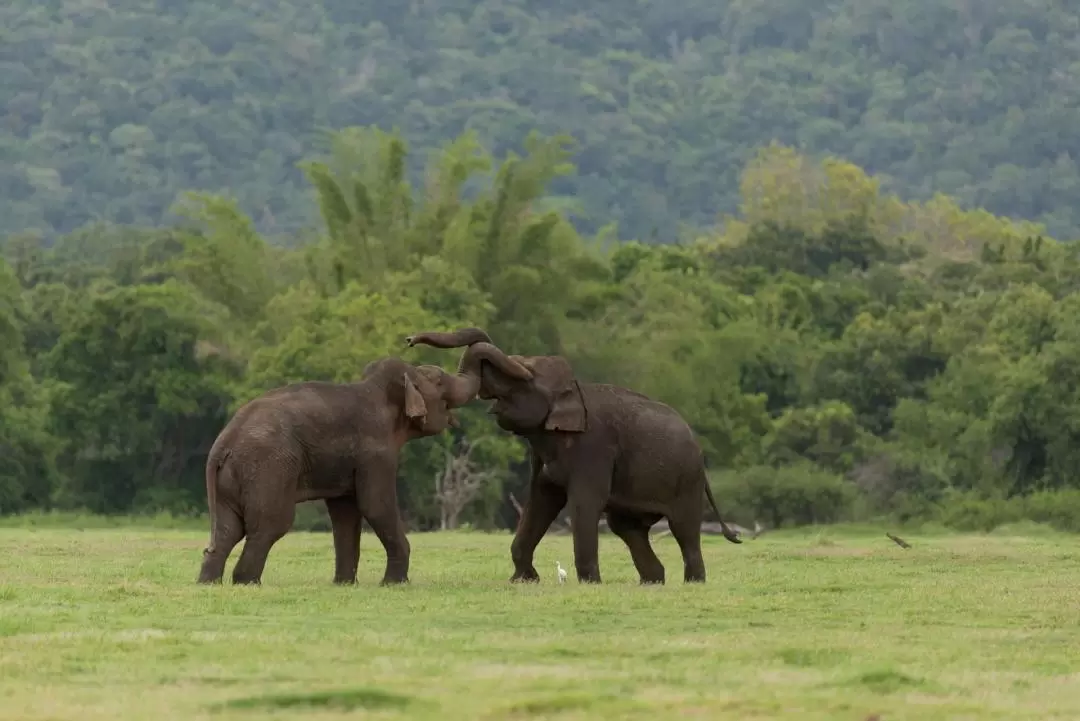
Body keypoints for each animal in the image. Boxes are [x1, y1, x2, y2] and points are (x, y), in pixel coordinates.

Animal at [195, 354, 481, 587]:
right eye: (439, 381)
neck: (376, 388)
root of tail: (223, 443)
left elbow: (345, 513)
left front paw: (344, 584)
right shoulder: (376, 453)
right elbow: (375, 506)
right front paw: (394, 584)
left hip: (230, 478)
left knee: (228, 529)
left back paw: (209, 582)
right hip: (268, 470)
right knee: (269, 525)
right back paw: (246, 582)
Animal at [406, 325, 743, 587]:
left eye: (525, 376)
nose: (409, 339)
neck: (574, 390)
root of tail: (700, 452)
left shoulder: (594, 448)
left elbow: (583, 503)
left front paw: (590, 583)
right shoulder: (542, 457)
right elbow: (540, 501)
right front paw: (523, 580)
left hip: (687, 481)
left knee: (684, 529)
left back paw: (693, 582)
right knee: (628, 528)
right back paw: (653, 581)